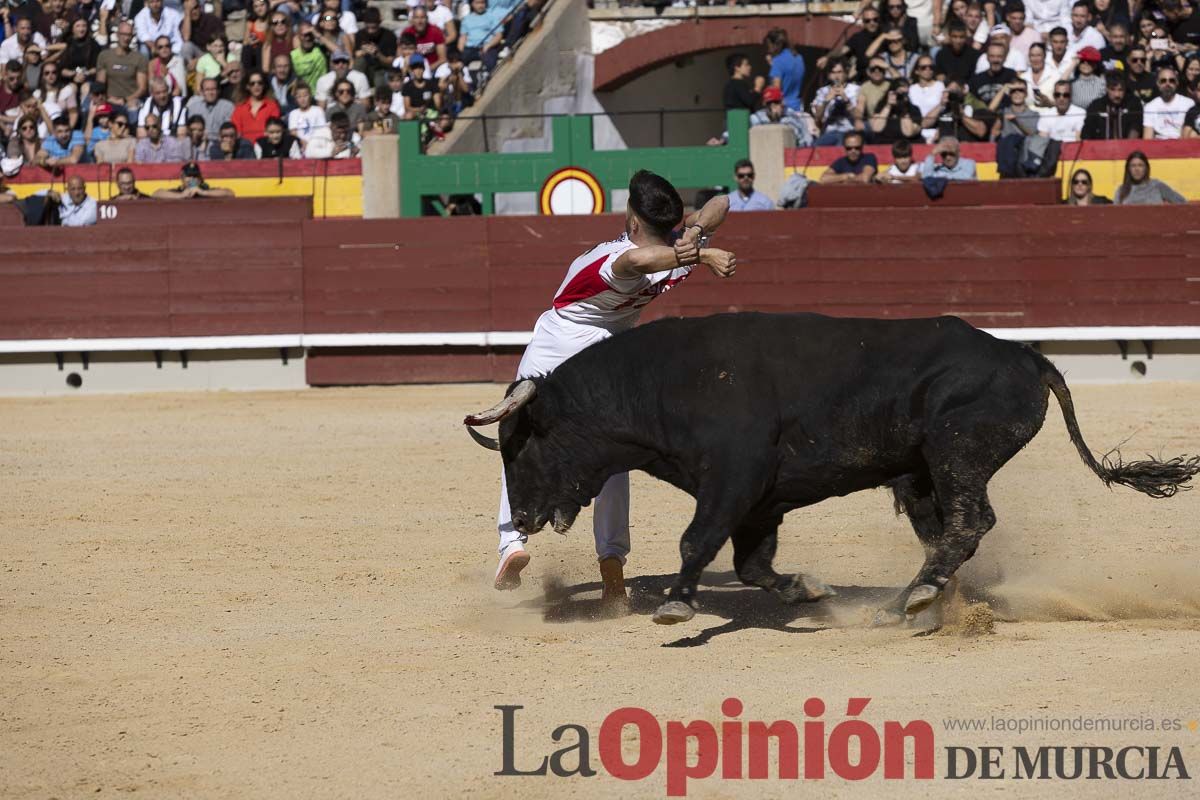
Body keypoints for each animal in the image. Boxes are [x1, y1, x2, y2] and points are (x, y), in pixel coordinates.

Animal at [463, 311, 1195, 623]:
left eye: (521, 445)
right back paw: (926, 599)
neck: (663, 383)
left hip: (956, 453)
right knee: (947, 532)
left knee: (970, 522)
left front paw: (675, 603)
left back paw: (914, 599)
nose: (522, 517)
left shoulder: (732, 478)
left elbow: (696, 542)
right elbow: (751, 565)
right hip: (923, 474)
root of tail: (1028, 355)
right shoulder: (758, 502)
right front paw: (806, 591)